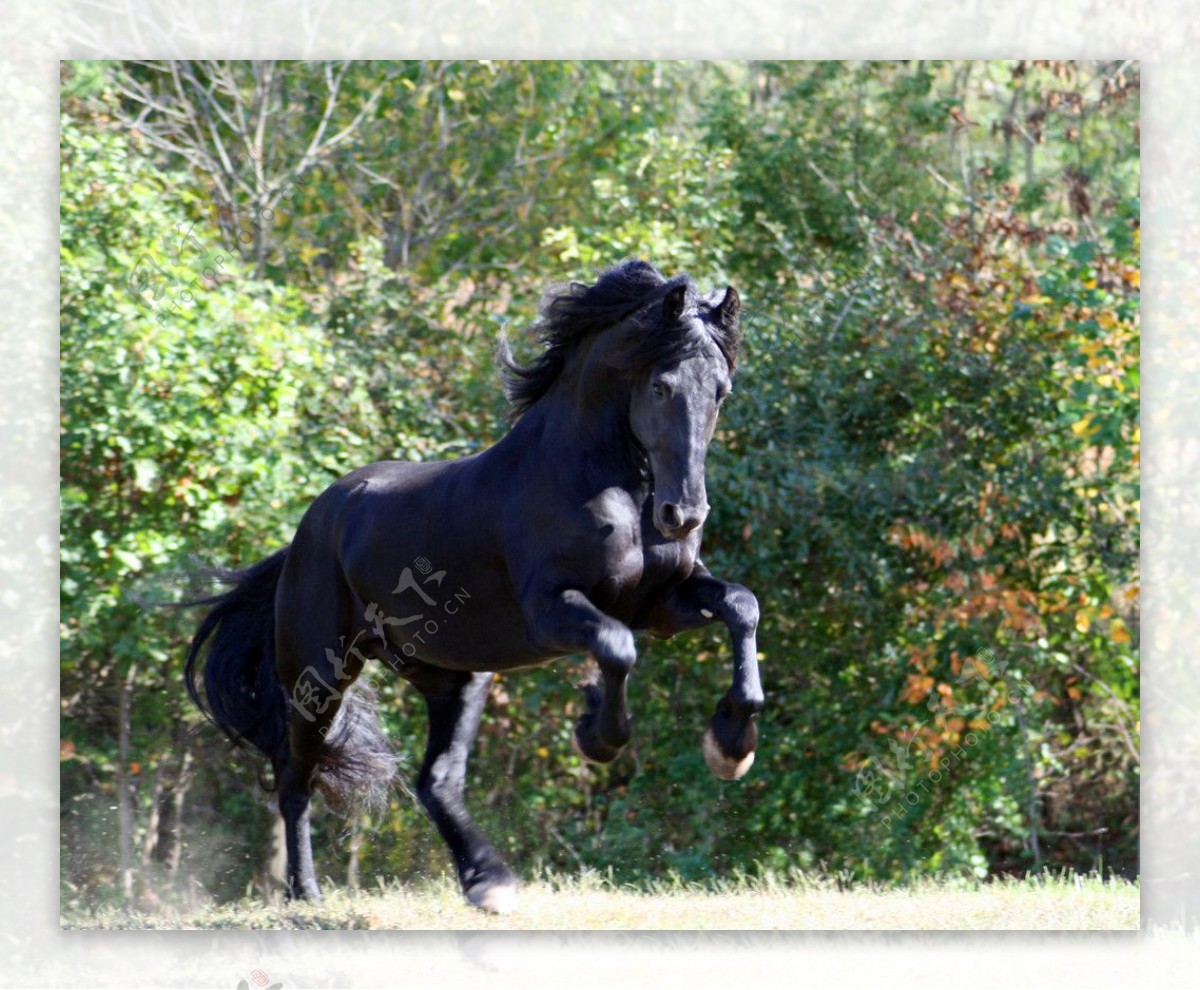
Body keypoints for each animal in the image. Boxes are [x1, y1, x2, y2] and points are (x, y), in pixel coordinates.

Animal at [182, 256, 763, 912]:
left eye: (720, 391)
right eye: (661, 387)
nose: (682, 515)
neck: (598, 481)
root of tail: (308, 534)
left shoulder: (660, 604)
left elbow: (741, 606)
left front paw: (731, 744)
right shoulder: (553, 610)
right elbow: (617, 647)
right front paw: (596, 735)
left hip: (454, 677)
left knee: (434, 781)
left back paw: (488, 881)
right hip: (317, 679)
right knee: (294, 777)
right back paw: (306, 895)